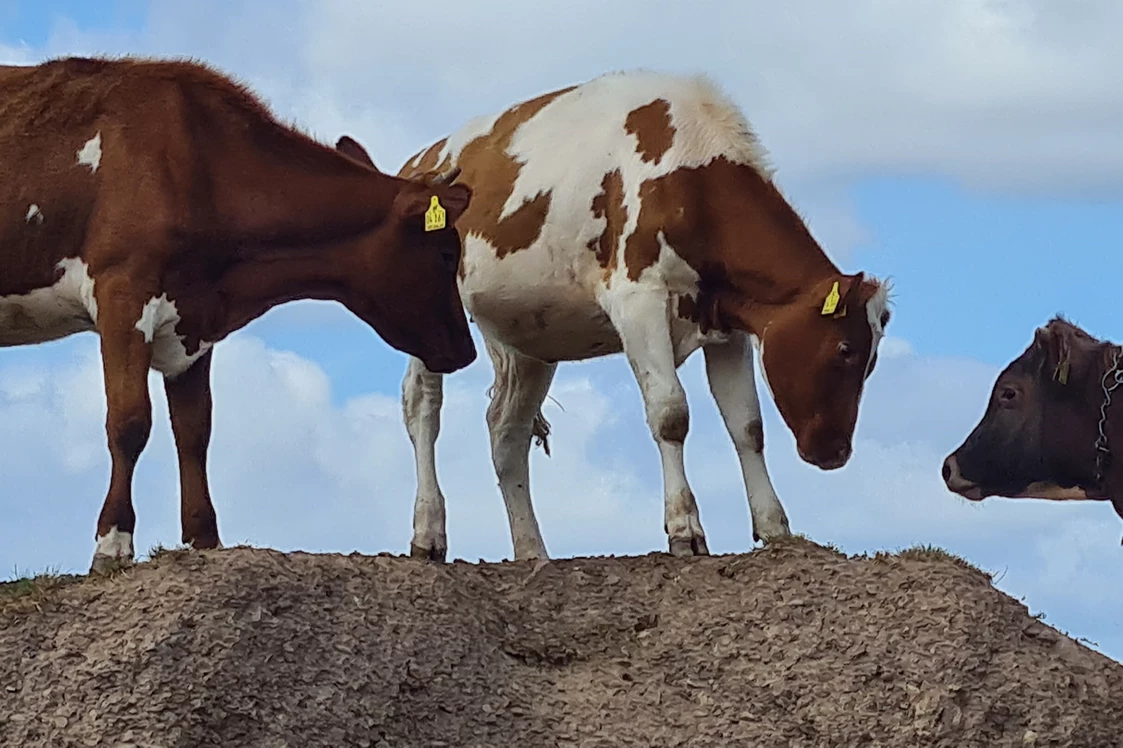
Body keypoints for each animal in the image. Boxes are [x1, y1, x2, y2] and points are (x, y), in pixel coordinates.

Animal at [0, 56, 476, 570]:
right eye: (446, 253)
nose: (467, 351)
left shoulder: (192, 319)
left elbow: (195, 429)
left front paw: (203, 537)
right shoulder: (123, 292)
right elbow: (129, 422)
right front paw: (112, 544)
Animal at [336, 69, 889, 559]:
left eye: (872, 362)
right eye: (844, 348)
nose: (836, 452)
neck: (692, 178)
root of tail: (419, 162)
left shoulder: (724, 324)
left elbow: (747, 426)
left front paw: (775, 528)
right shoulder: (637, 300)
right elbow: (671, 413)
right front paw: (685, 530)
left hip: (530, 338)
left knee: (506, 431)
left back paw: (532, 550)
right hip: (426, 311)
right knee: (422, 408)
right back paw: (429, 534)